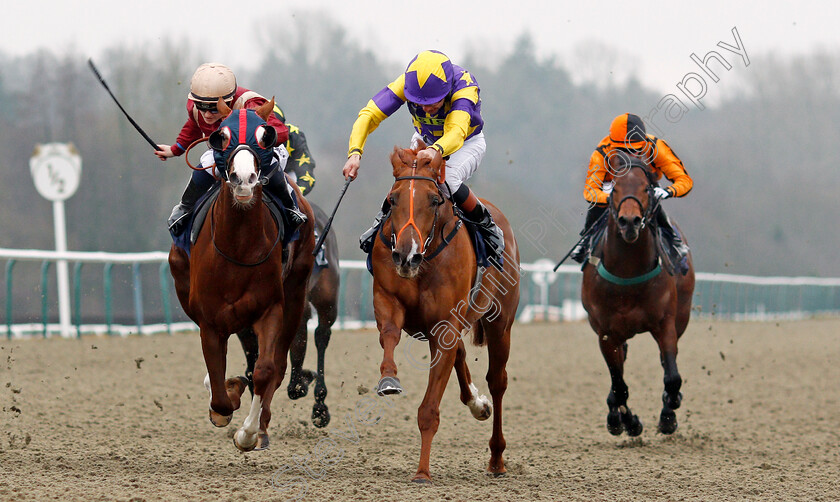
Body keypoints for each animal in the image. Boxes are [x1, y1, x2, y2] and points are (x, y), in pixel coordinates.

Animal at [169, 98, 316, 452]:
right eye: (221, 137)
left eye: (265, 136)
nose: (244, 178)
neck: (238, 249)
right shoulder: (210, 321)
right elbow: (218, 385)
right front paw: (226, 396)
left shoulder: (270, 309)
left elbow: (264, 370)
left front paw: (247, 433)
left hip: (295, 294)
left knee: (276, 365)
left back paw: (261, 427)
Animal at [233, 202, 338, 430]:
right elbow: (252, 363)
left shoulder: (296, 304)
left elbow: (297, 351)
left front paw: (303, 381)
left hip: (327, 299)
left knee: (321, 336)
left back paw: (320, 405)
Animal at [372, 144, 520, 482]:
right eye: (392, 199)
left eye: (434, 200)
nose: (406, 255)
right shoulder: (388, 299)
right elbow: (389, 334)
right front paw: (388, 378)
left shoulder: (445, 327)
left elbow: (429, 410)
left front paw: (422, 472)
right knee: (462, 356)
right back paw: (477, 403)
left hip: (500, 323)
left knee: (498, 381)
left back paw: (497, 458)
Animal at [584, 152, 696, 436]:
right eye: (614, 189)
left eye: (646, 188)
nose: (629, 222)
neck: (627, 275)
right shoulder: (606, 333)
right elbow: (619, 384)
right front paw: (627, 421)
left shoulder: (665, 323)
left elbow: (672, 377)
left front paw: (668, 414)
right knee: (620, 370)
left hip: (681, 317)